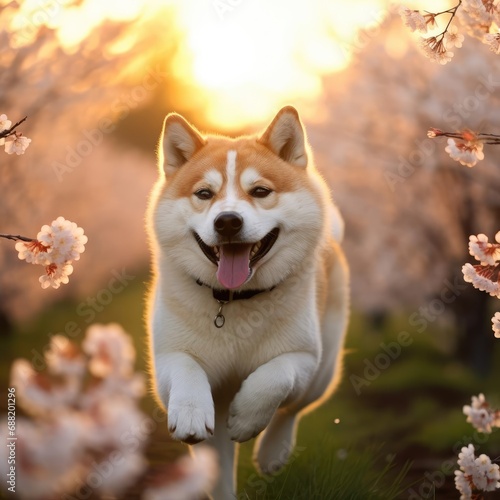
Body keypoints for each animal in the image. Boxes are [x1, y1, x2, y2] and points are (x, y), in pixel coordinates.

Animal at [146, 107, 350, 498]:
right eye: (204, 193)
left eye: (260, 191)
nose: (227, 221)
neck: (234, 301)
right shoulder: (168, 358)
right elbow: (186, 366)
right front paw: (191, 410)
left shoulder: (303, 357)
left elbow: (275, 377)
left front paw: (247, 418)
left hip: (324, 371)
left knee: (293, 410)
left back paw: (273, 451)